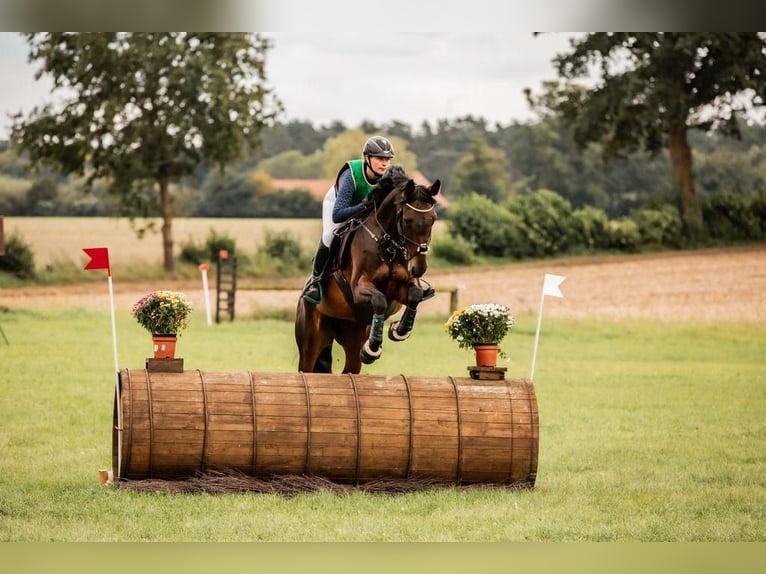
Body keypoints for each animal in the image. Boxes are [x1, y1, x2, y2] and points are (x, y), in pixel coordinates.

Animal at [296, 164, 440, 376]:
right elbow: (379, 300)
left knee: (350, 367)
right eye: (407, 220)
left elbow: (415, 295)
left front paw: (399, 330)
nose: (418, 268)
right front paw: (372, 349)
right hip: (311, 339)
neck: (386, 244)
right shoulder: (359, 288)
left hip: (352, 338)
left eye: (433, 219)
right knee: (306, 365)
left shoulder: (401, 287)